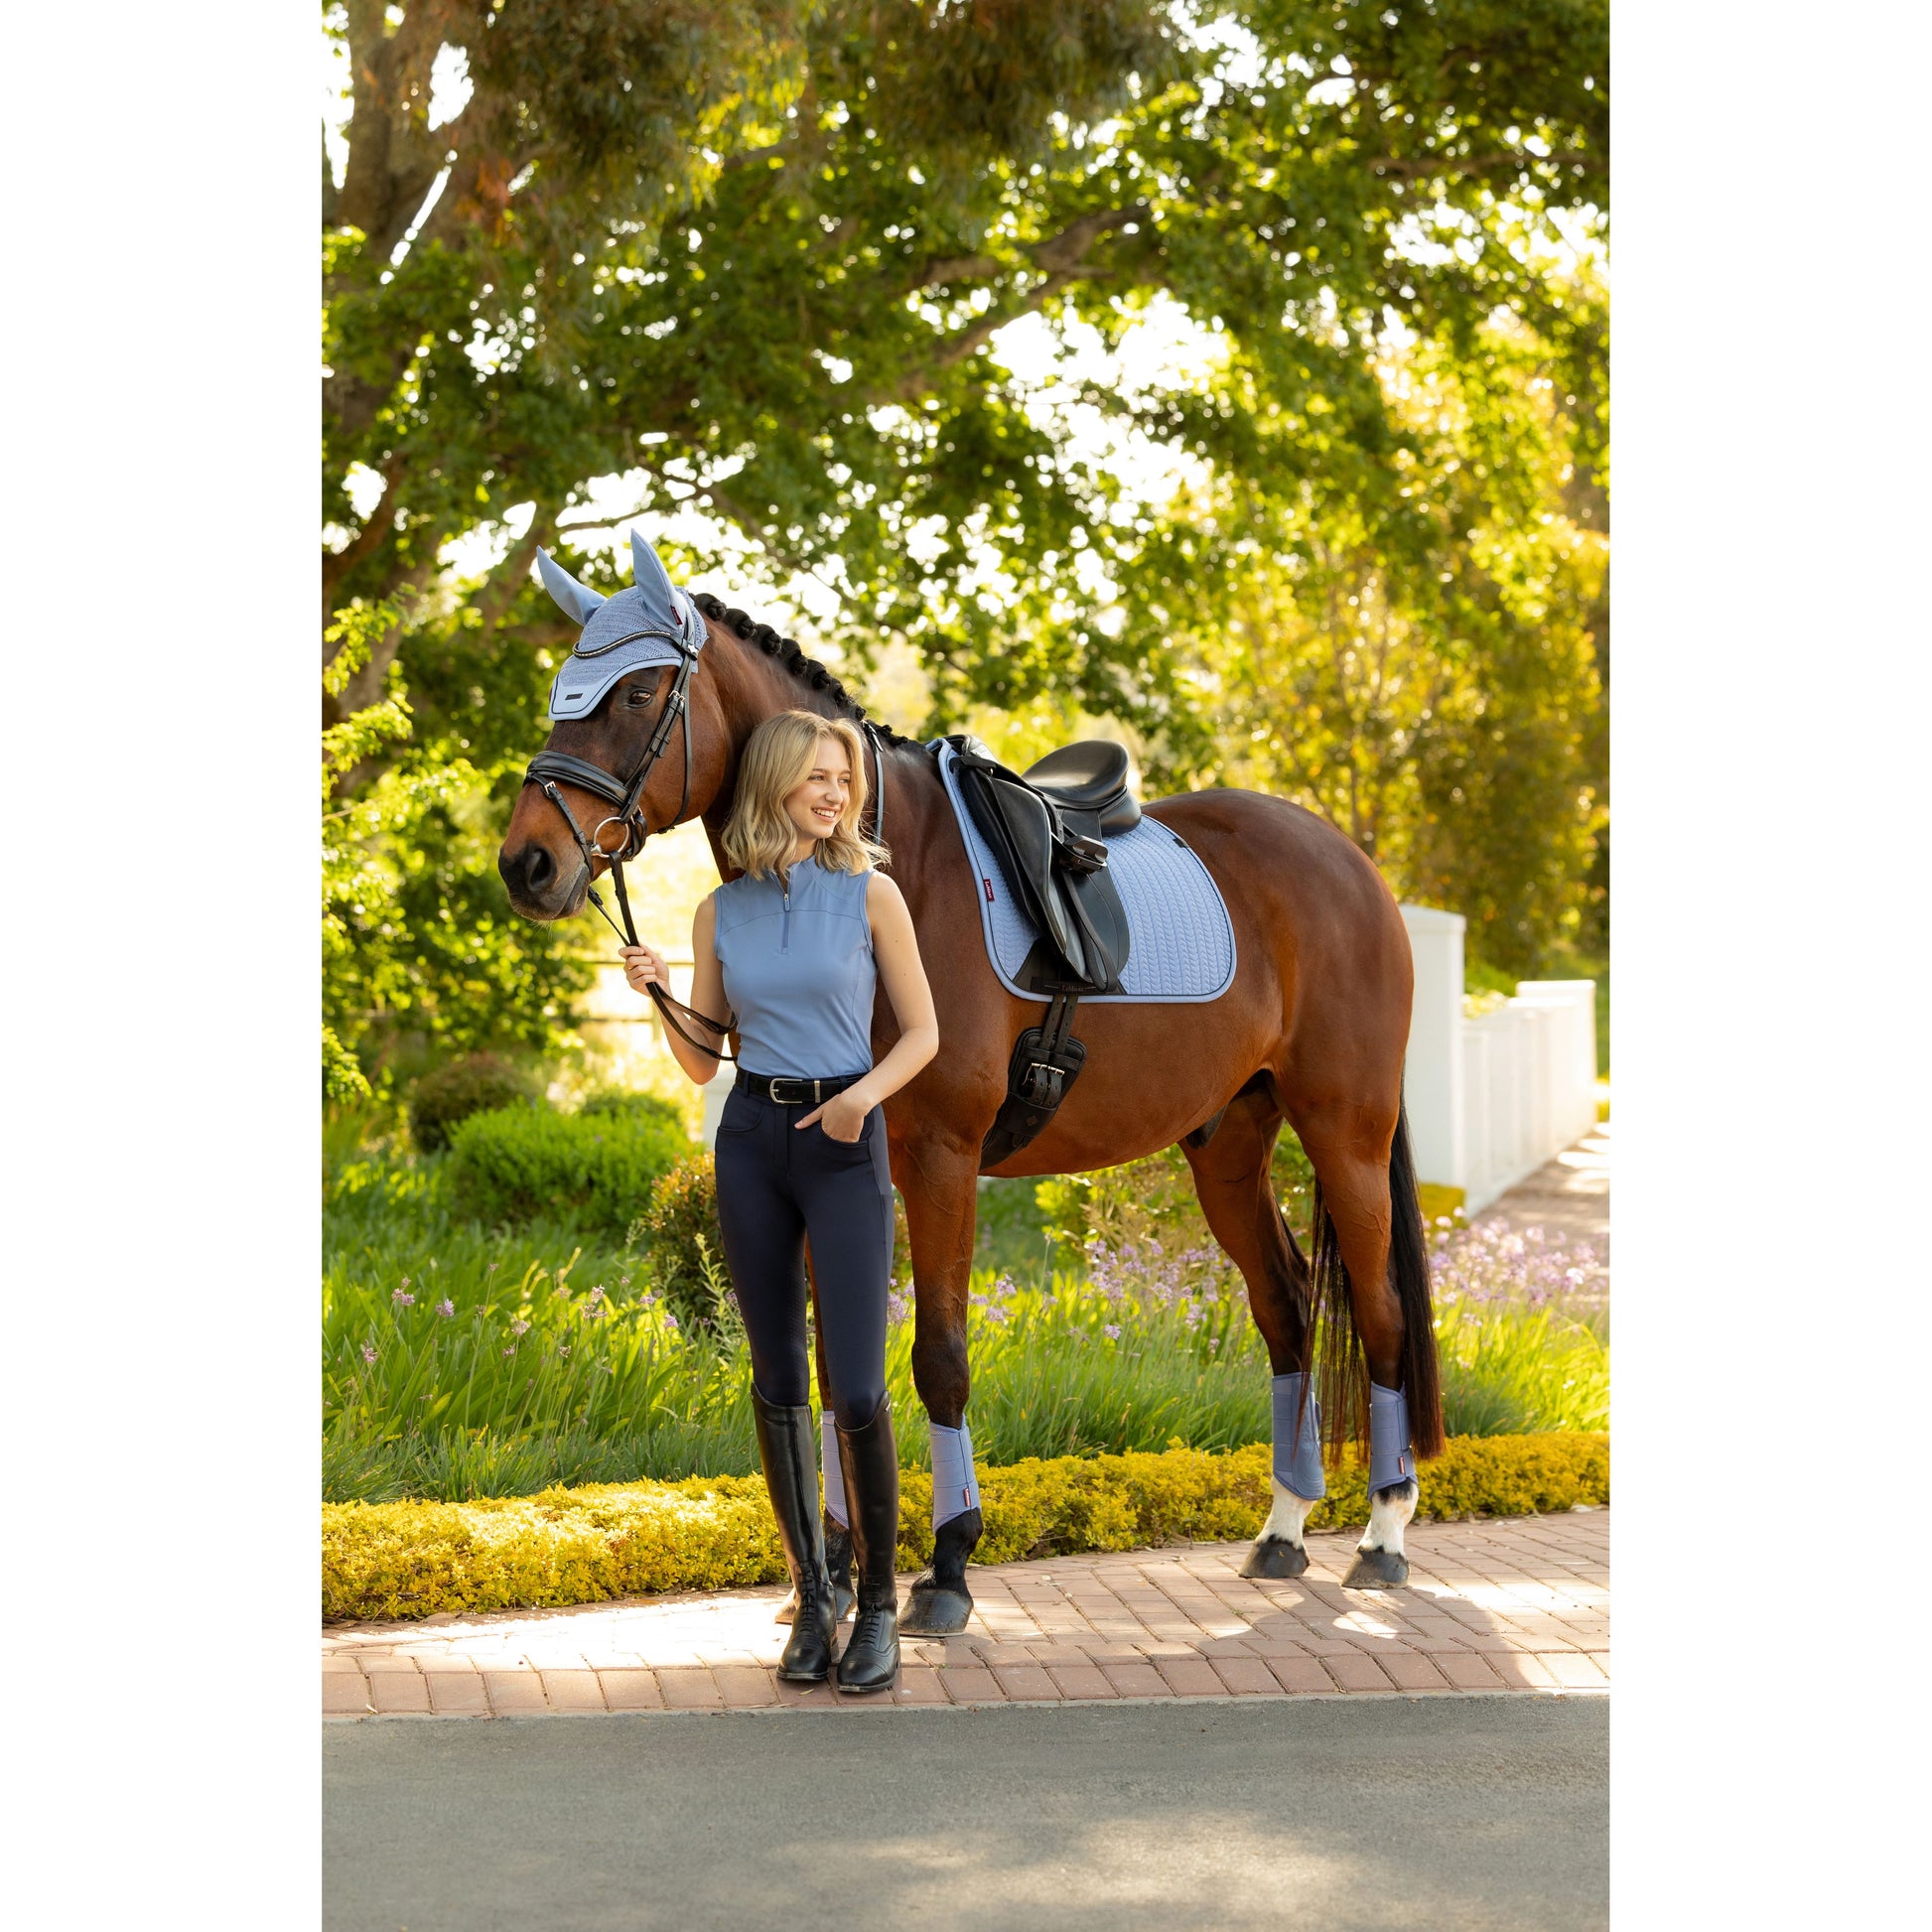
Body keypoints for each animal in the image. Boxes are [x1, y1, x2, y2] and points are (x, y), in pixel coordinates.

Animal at [497, 547, 1442, 1632]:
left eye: (640, 692)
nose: (527, 862)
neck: (875, 865)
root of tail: (1349, 864)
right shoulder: (837, 1166)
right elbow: (838, 1369)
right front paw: (833, 1567)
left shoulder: (939, 1159)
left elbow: (937, 1358)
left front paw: (945, 1569)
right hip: (1228, 1145)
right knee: (1285, 1306)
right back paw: (1283, 1528)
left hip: (1345, 1131)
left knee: (1379, 1312)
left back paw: (1382, 1536)